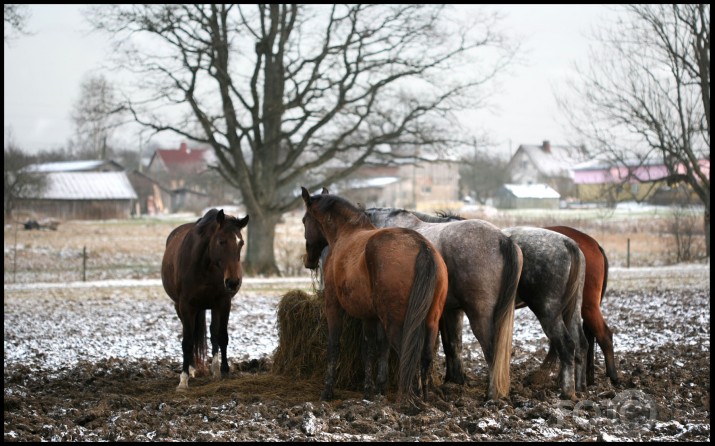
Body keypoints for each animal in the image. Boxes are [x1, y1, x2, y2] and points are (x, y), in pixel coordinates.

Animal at [161, 208, 250, 390]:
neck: (205, 267)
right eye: (221, 241)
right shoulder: (186, 306)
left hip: (213, 306)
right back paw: (192, 368)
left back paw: (214, 369)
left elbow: (222, 336)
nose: (233, 282)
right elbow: (187, 341)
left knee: (213, 333)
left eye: (241, 243)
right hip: (181, 307)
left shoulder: (223, 303)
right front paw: (183, 380)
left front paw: (224, 371)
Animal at [300, 186, 448, 402]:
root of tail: (422, 246)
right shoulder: (370, 315)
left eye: (304, 221)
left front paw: (328, 391)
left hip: (396, 323)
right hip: (430, 321)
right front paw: (373, 390)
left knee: (408, 354)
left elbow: (334, 345)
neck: (346, 233)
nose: (308, 261)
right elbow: (373, 349)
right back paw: (424, 396)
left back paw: (411, 399)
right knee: (425, 356)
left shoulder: (333, 305)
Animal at [366, 206, 524, 400]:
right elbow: (452, 345)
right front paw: (455, 380)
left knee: (492, 352)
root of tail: (503, 239)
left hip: (480, 316)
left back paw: (491, 395)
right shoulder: (452, 311)